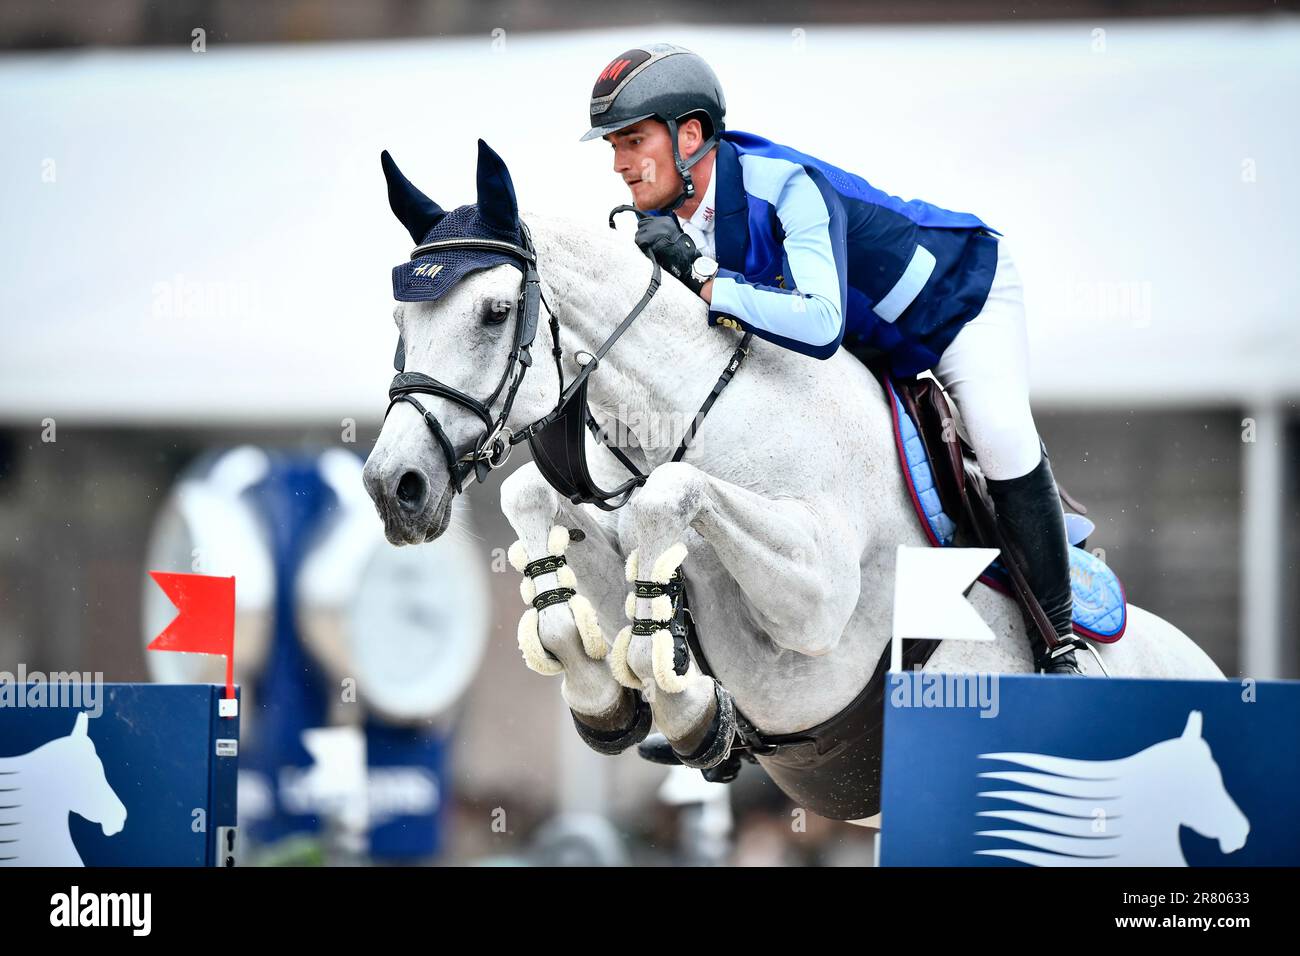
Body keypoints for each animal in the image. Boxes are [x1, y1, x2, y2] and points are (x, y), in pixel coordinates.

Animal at [361, 145, 1222, 816]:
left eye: (493, 311)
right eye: (400, 323)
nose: (394, 487)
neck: (700, 408)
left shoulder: (820, 610)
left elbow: (671, 500)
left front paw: (678, 695)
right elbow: (543, 503)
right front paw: (614, 692)